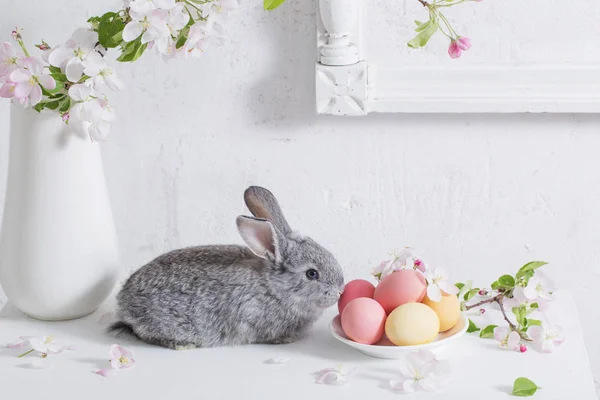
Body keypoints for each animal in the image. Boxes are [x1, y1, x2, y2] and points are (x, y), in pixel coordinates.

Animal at [106, 186, 342, 348]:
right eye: (312, 274)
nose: (340, 291)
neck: (275, 288)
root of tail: (123, 302)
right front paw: (286, 340)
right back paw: (182, 345)